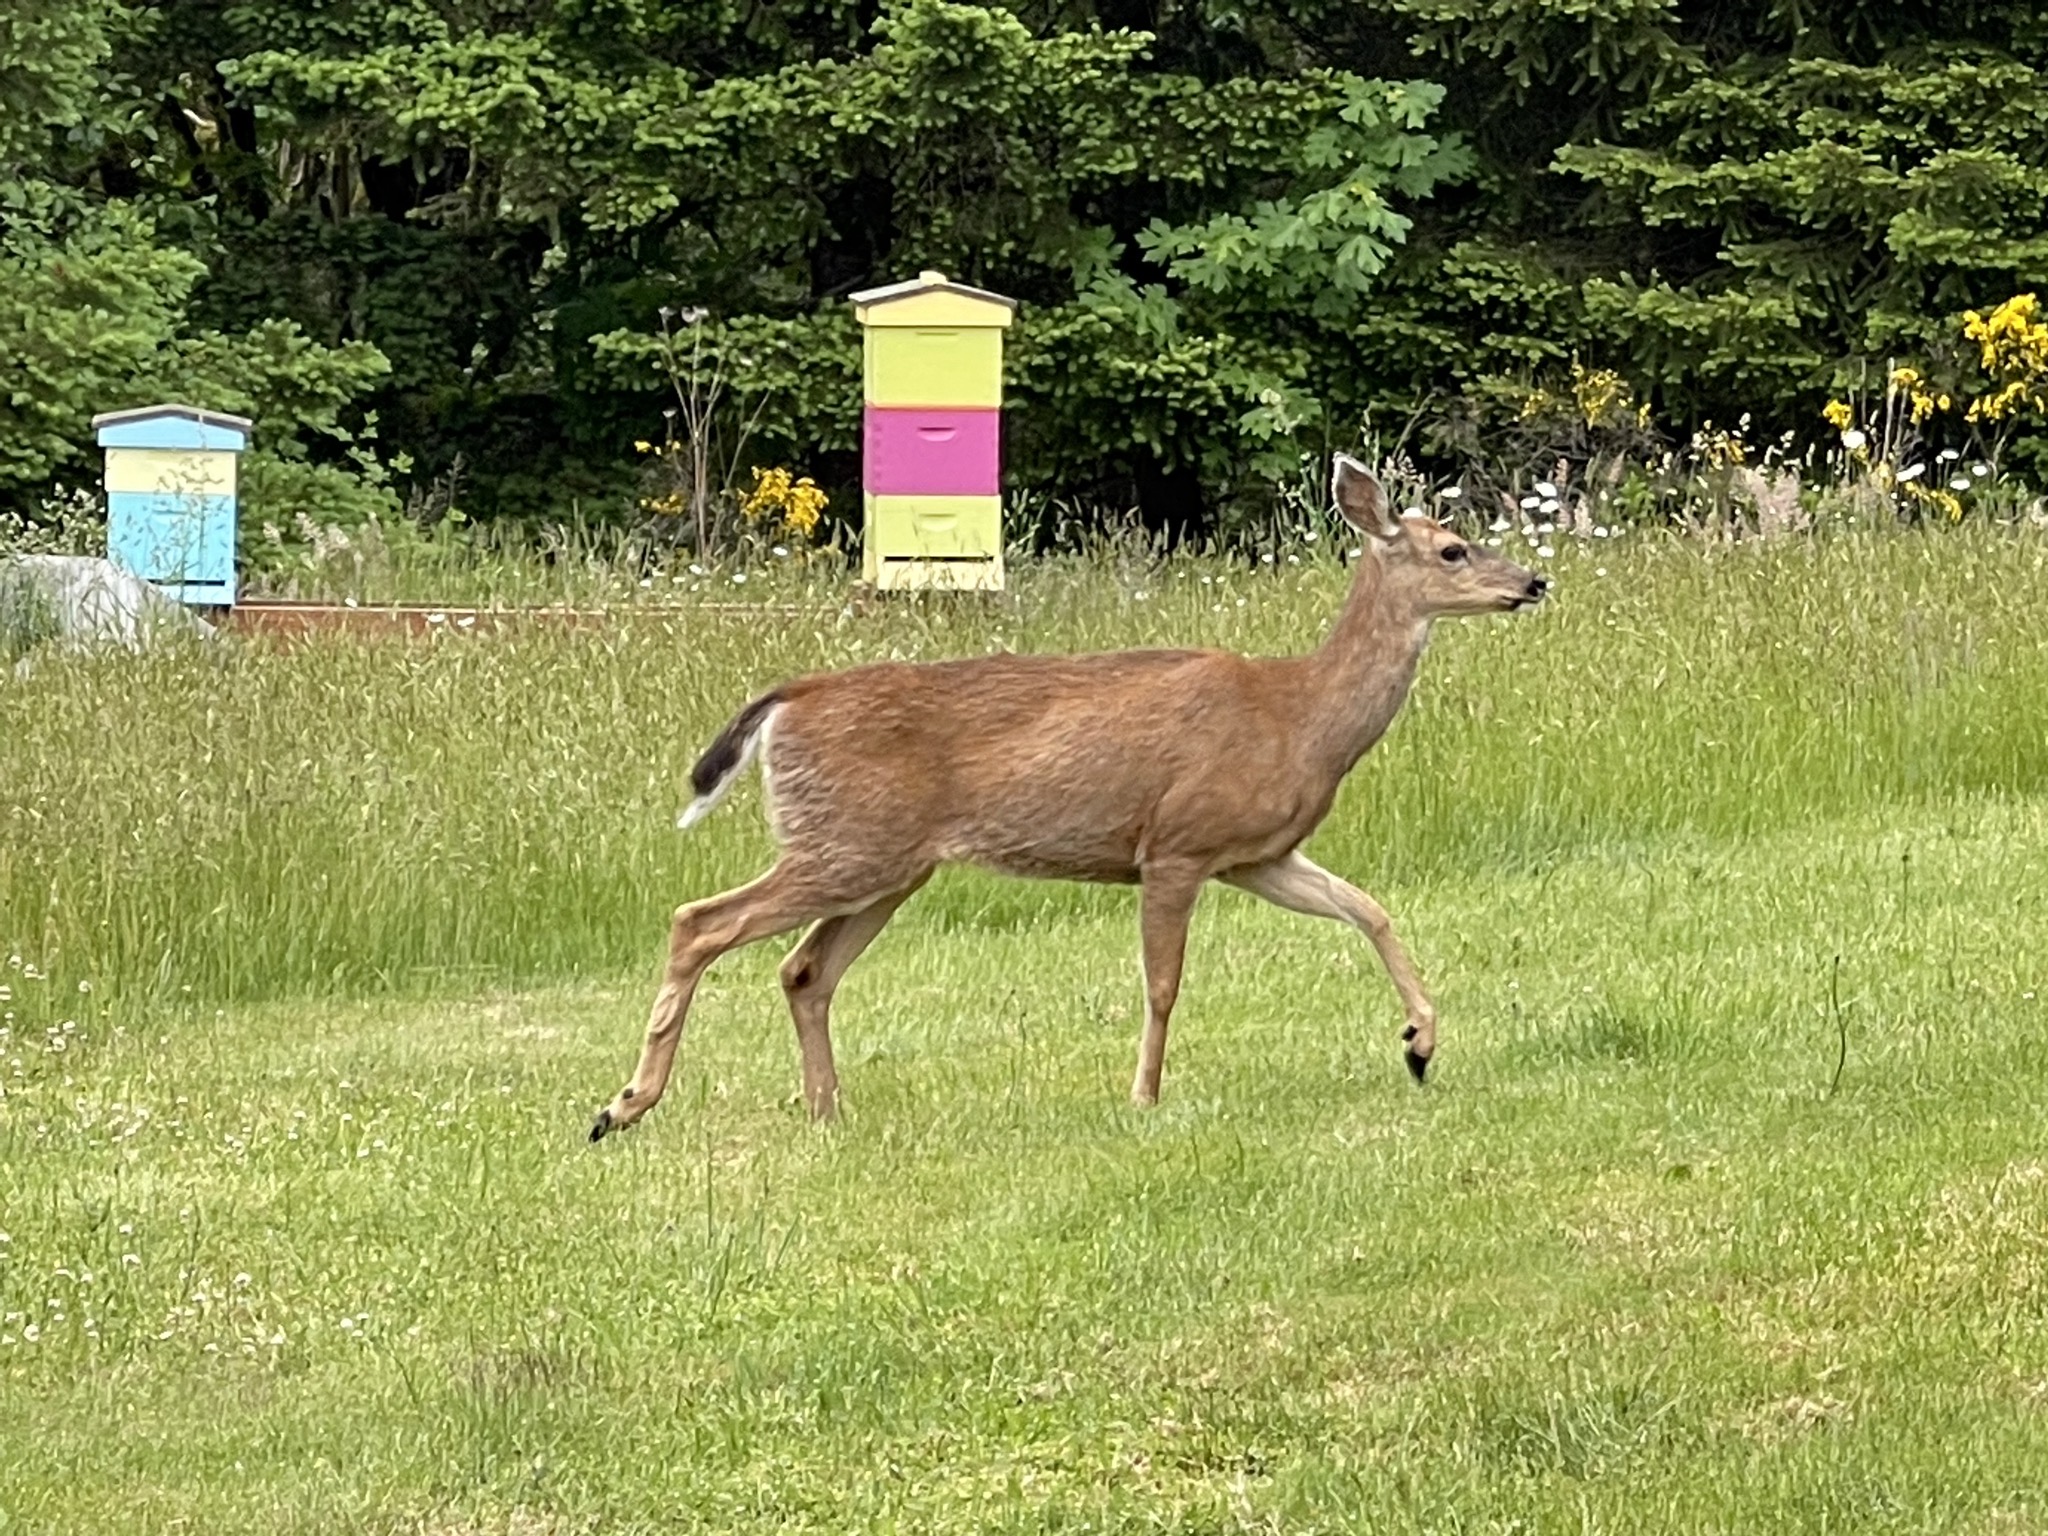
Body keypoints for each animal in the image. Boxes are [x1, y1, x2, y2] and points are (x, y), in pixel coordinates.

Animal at [588, 455, 1547, 1141]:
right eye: (1453, 549)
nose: (1533, 582)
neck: (1298, 715)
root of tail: (786, 700)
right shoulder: (1177, 843)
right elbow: (1163, 983)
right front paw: (1144, 1096)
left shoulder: (1257, 855)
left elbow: (1370, 908)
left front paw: (1421, 1043)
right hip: (846, 845)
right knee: (699, 921)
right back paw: (622, 1105)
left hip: (888, 864)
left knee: (803, 969)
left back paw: (827, 1113)